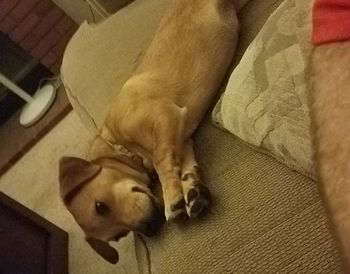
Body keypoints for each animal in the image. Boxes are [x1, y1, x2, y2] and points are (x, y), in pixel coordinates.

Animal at [58, 0, 247, 264]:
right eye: (118, 235)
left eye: (100, 206)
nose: (151, 227)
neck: (120, 144)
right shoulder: (181, 138)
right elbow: (184, 166)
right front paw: (190, 191)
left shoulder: (165, 116)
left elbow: (160, 159)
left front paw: (171, 197)